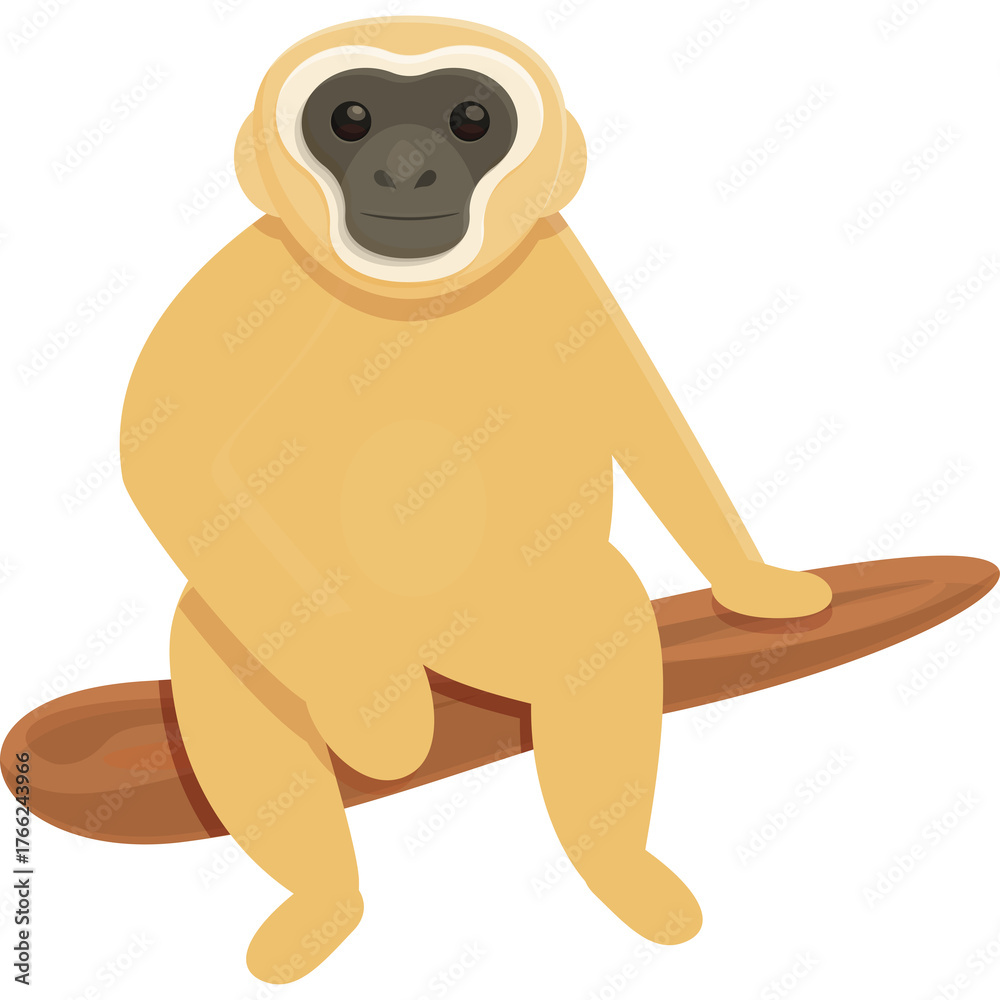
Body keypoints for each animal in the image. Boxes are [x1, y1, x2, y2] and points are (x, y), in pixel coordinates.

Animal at [120, 16, 833, 984]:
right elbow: (172, 459)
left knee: (599, 629)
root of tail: (428, 650)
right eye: (349, 117)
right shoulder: (244, 277)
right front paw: (376, 716)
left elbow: (637, 411)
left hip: (501, 618)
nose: (405, 167)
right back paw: (325, 895)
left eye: (469, 118)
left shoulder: (558, 259)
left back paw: (619, 871)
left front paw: (755, 584)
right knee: (221, 654)